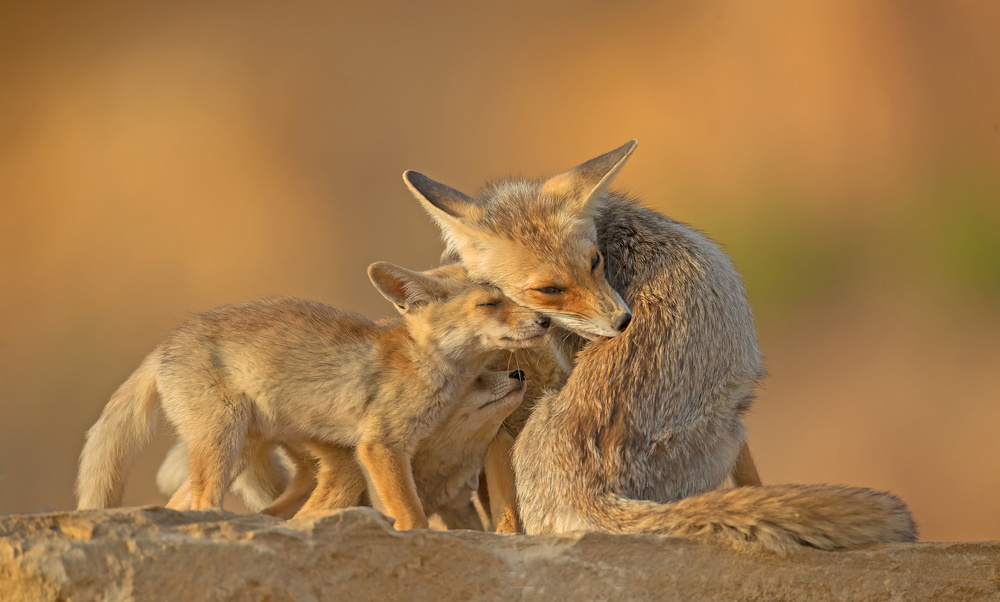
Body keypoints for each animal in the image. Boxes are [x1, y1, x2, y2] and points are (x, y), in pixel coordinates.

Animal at [402, 139, 916, 548]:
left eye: (596, 261)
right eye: (549, 289)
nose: (624, 321)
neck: (615, 227)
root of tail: (592, 491)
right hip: (725, 427)